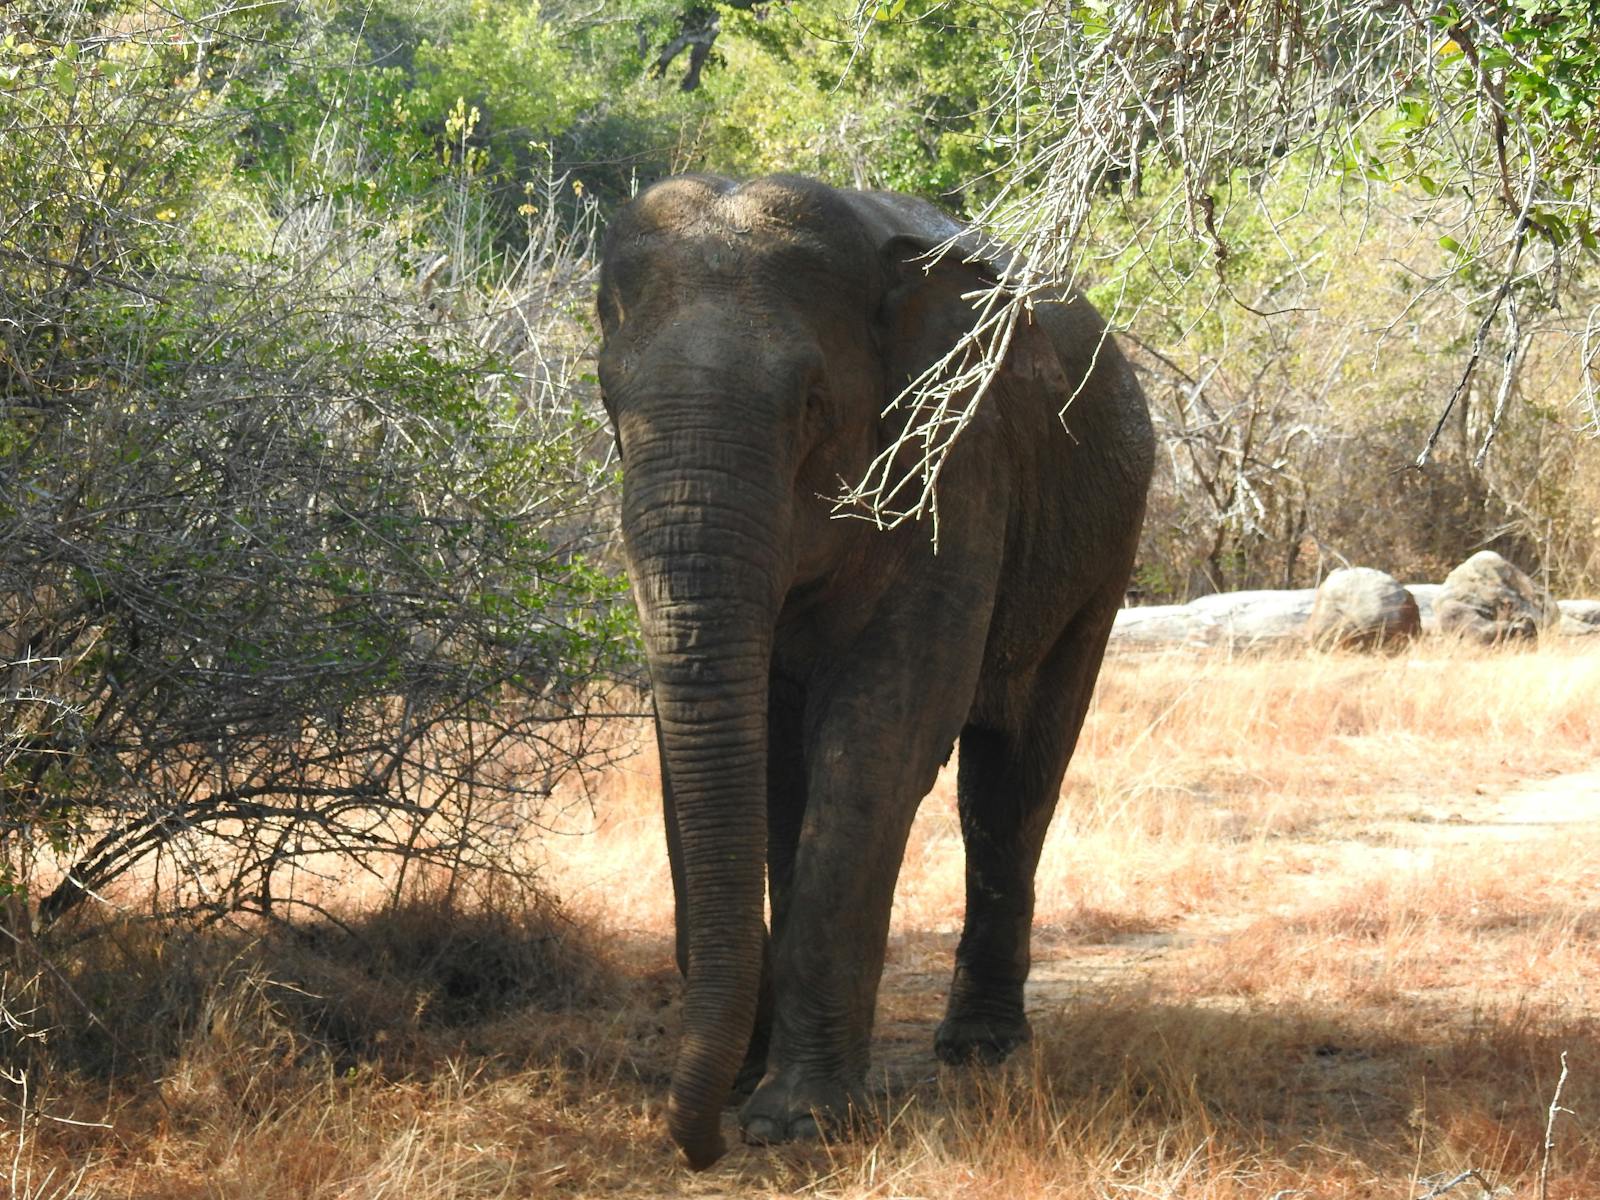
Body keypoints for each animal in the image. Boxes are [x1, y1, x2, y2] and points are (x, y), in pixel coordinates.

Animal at [596, 173, 1154, 1169]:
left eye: (813, 406)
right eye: (608, 401)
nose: (703, 1145)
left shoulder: (956, 459)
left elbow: (882, 737)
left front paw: (796, 1121)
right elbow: (719, 752)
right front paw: (754, 1087)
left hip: (1102, 553)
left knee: (1012, 783)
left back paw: (980, 1051)